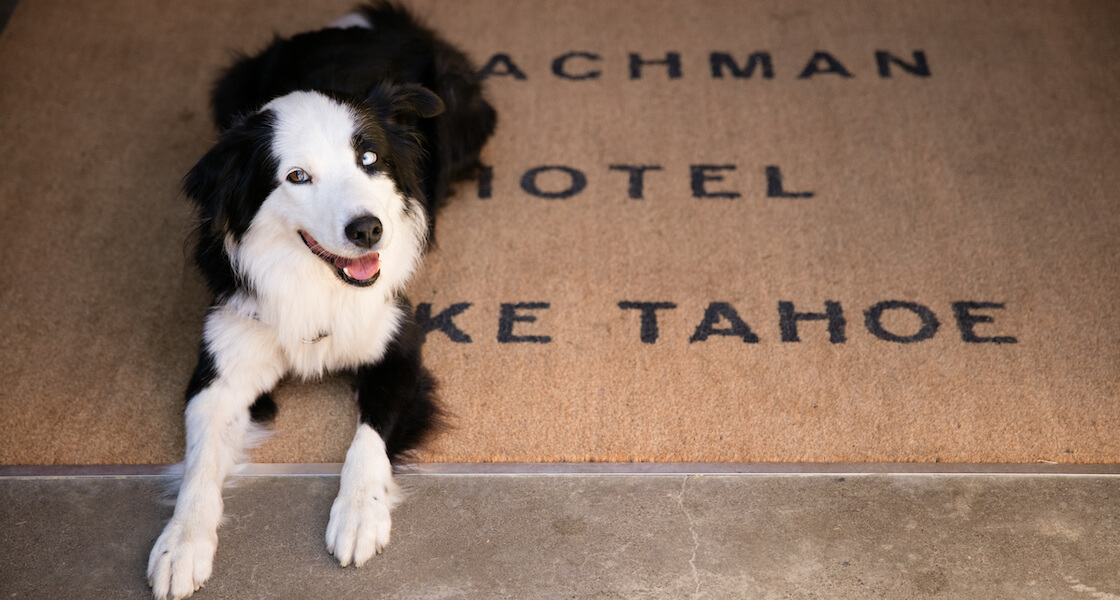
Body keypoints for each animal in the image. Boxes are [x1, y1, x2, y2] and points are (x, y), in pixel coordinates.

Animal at [146, 3, 497, 595]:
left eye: (370, 158)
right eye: (297, 176)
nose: (368, 230)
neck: (316, 282)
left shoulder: (398, 350)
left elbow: (367, 439)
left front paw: (358, 516)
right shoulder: (221, 370)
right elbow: (199, 464)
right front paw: (181, 544)